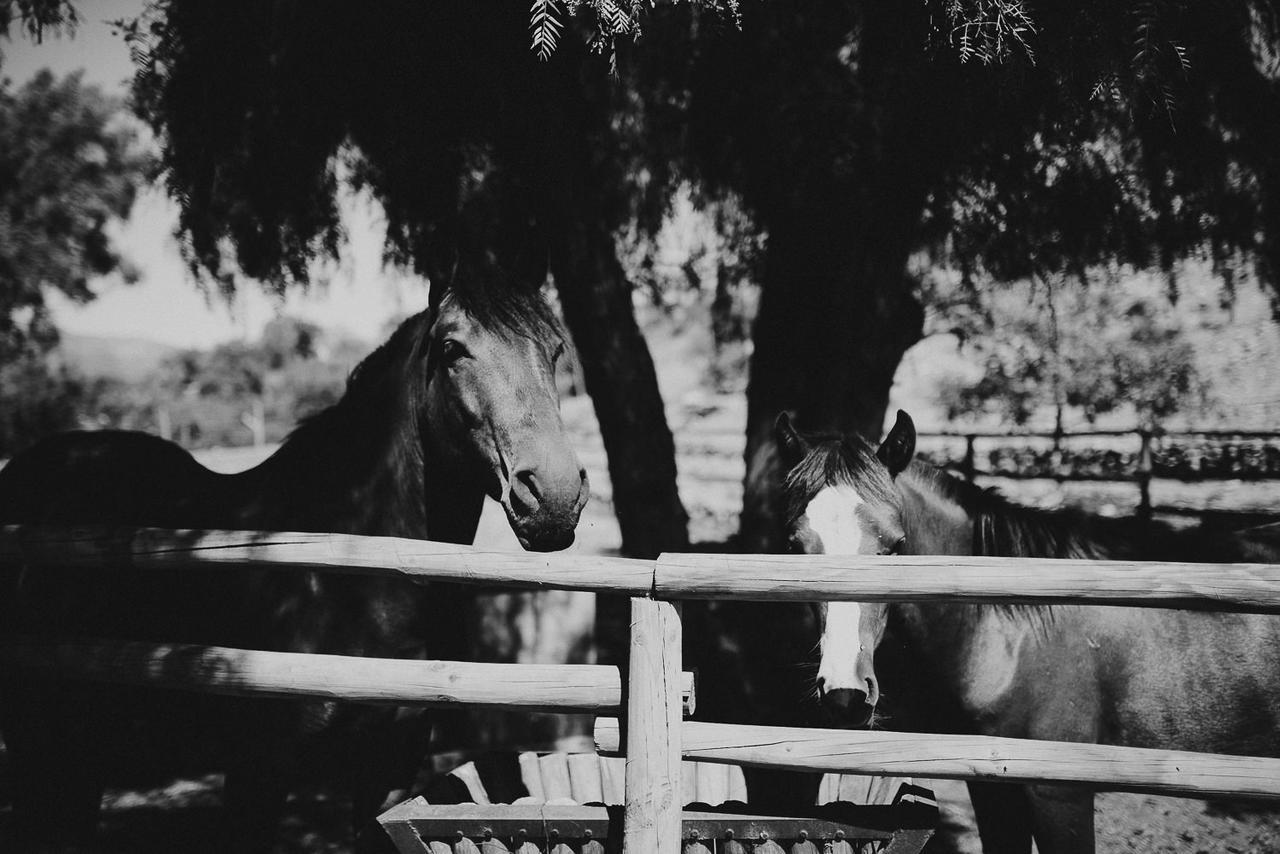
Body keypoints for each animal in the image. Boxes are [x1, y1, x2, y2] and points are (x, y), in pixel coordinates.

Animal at [0, 289, 588, 854]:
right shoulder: (256, 773)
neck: (347, 572)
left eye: (555, 350)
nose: (555, 496)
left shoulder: (389, 766)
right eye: (451, 349)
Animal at [773, 409, 1280, 850]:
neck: (1011, 635)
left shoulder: (1059, 794)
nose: (845, 694)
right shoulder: (994, 790)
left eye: (896, 546)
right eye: (796, 547)